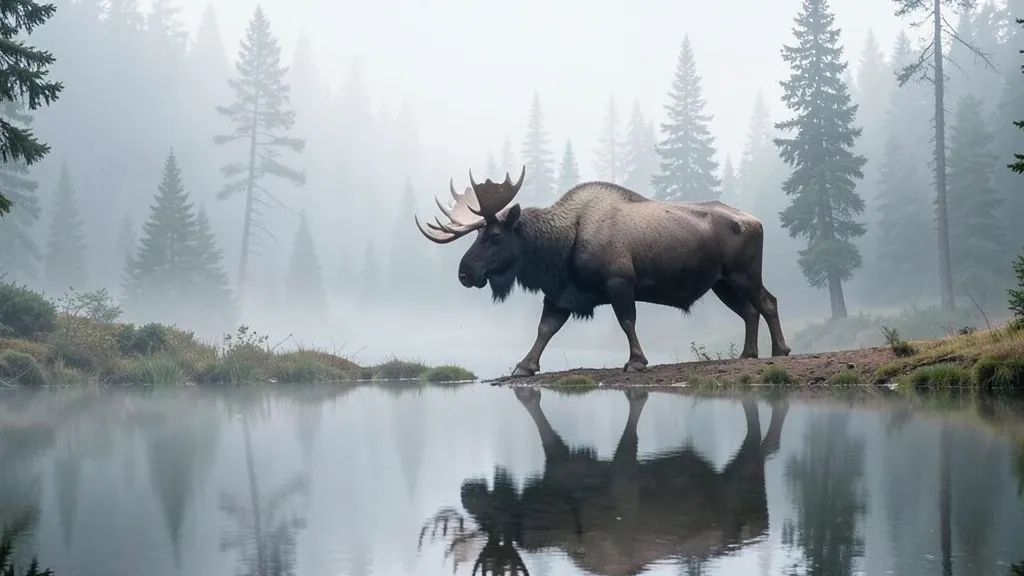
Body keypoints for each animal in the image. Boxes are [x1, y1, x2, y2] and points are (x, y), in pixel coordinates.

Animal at [414, 167, 791, 376]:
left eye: (494, 236)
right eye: (476, 235)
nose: (465, 273)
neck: (559, 246)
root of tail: (757, 221)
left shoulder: (619, 281)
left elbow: (627, 322)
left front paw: (636, 361)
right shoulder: (560, 294)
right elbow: (544, 330)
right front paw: (524, 365)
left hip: (744, 275)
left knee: (768, 302)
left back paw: (780, 350)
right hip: (721, 283)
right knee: (748, 311)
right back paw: (748, 353)